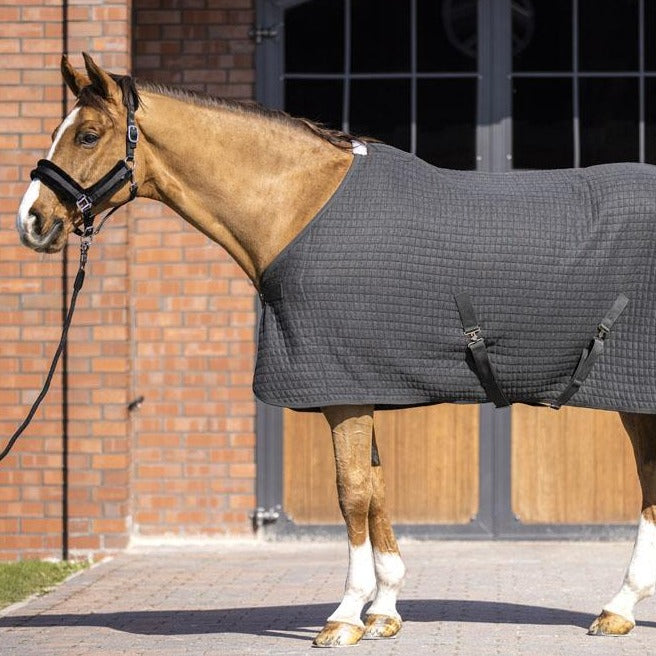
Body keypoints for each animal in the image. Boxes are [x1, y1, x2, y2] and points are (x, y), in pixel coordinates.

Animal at [15, 53, 656, 646]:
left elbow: (351, 496)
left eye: (87, 134)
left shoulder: (340, 387)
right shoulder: (357, 382)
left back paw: (619, 606)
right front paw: (384, 610)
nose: (32, 220)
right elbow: (374, 492)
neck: (300, 205)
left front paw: (346, 615)